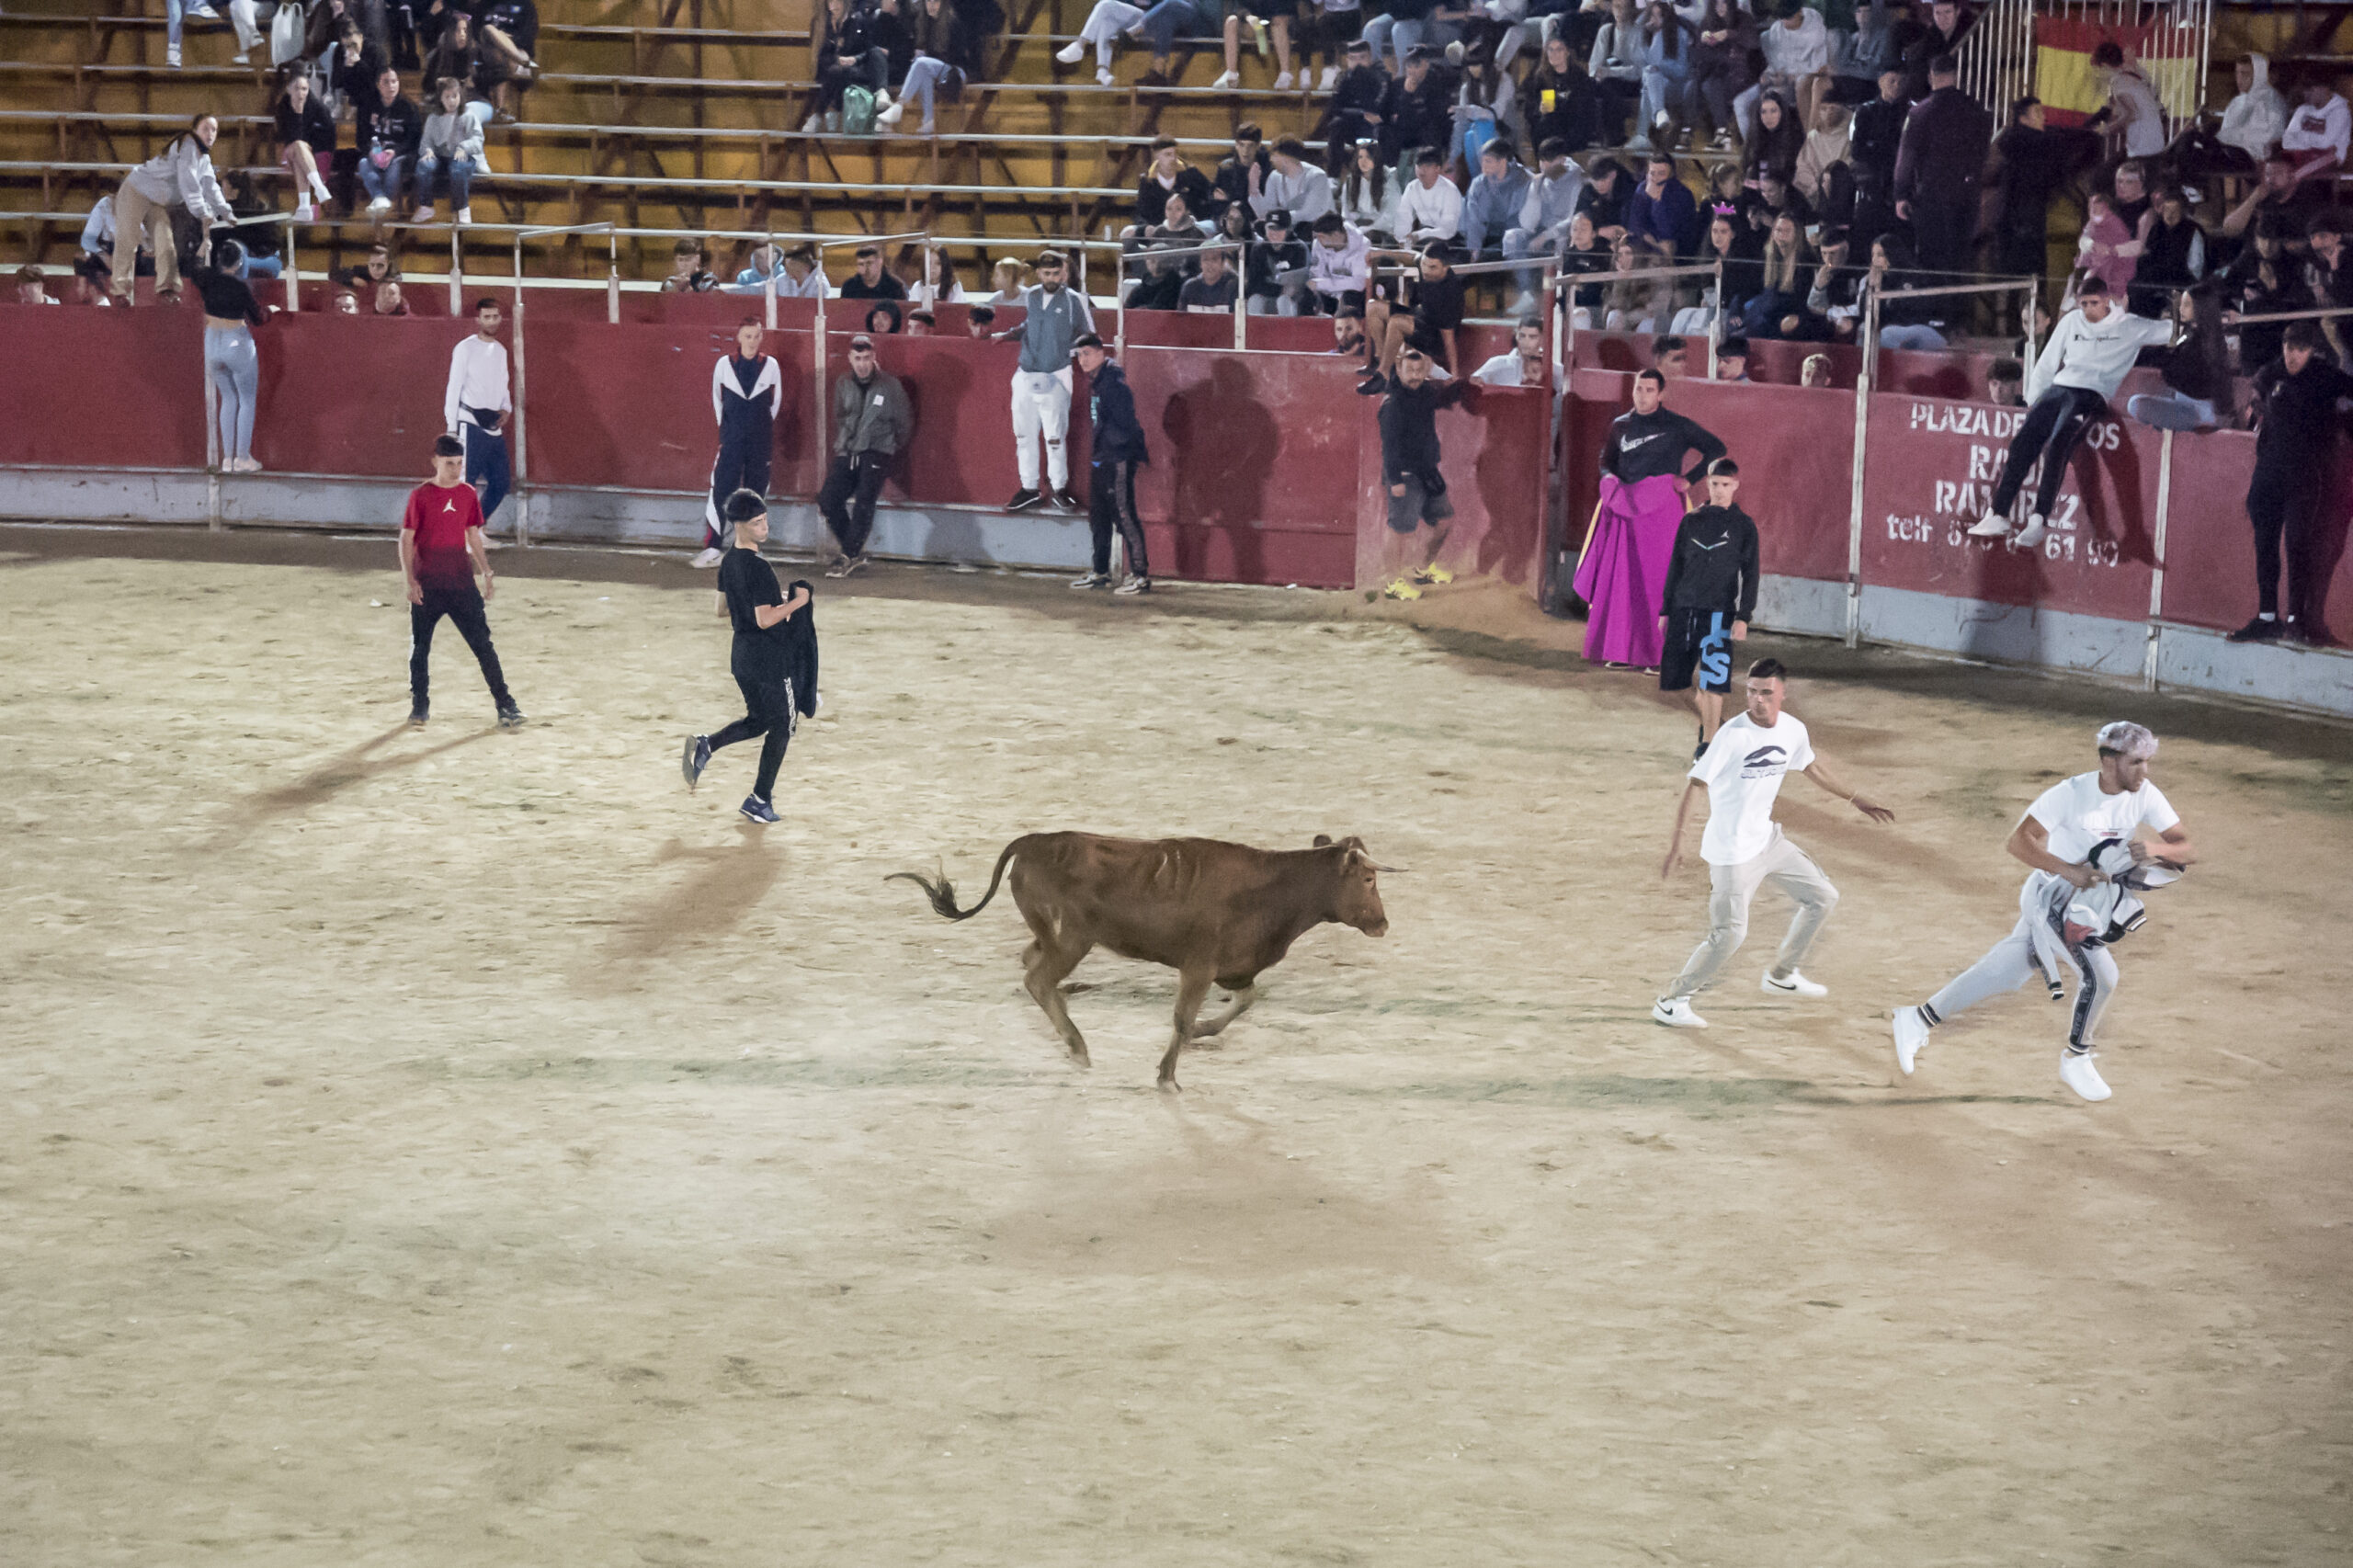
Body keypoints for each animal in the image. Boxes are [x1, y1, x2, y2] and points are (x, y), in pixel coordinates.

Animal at [889, 828, 1383, 1087]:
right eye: (1369, 879)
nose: (1383, 923)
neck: (1272, 888)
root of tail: (1033, 841)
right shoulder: (1199, 967)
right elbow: (1183, 1017)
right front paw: (1168, 1075)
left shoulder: (1233, 970)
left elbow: (1243, 1002)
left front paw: (1201, 1034)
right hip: (1072, 940)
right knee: (1038, 979)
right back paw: (1077, 1045)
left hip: (1053, 936)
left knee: (1030, 963)